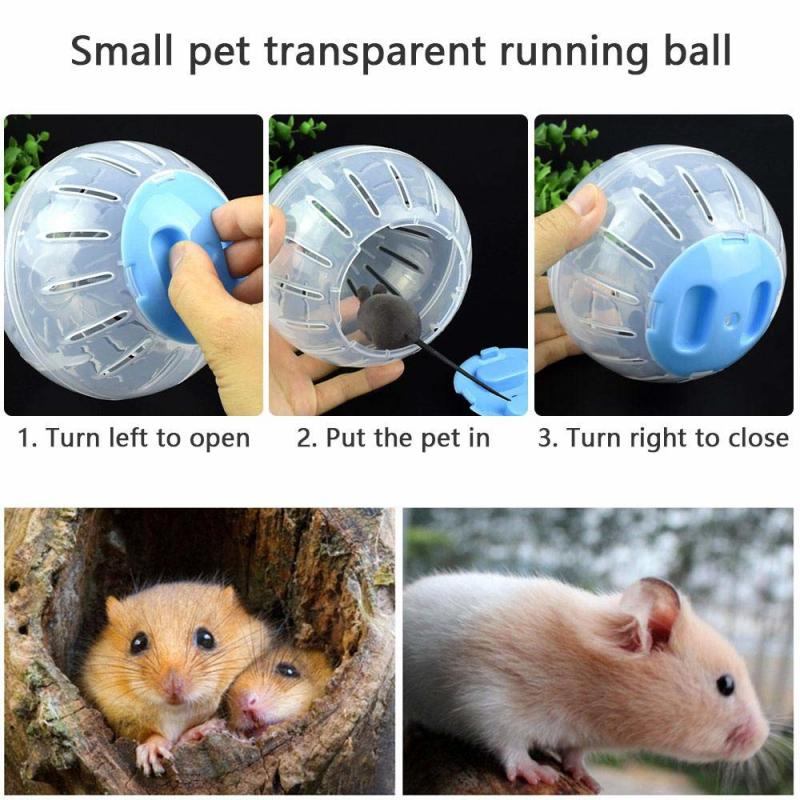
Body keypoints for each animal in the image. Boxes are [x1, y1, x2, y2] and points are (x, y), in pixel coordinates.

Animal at [80, 581, 271, 776]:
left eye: (206, 638)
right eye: (137, 643)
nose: (173, 688)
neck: (175, 711)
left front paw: (205, 728)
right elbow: (150, 735)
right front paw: (151, 751)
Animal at [404, 573, 769, 791]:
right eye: (726, 685)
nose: (762, 738)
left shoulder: (577, 733)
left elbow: (575, 752)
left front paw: (587, 779)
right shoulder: (490, 696)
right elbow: (509, 743)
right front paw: (539, 774)